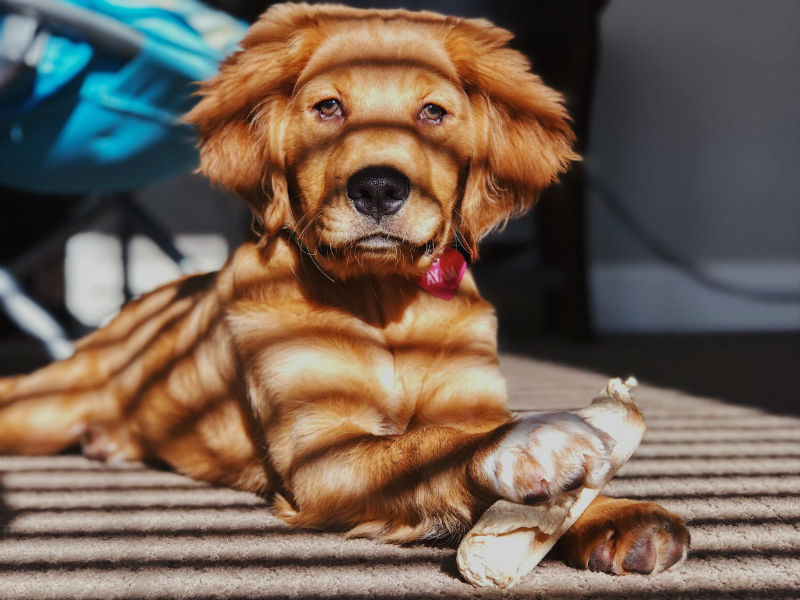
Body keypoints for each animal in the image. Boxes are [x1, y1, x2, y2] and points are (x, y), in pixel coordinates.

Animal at [0, 3, 688, 576]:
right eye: (327, 107)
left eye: (433, 112)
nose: (379, 187)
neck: (381, 299)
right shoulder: (320, 453)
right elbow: (422, 448)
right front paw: (530, 441)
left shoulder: (468, 398)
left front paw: (616, 514)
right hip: (42, 408)